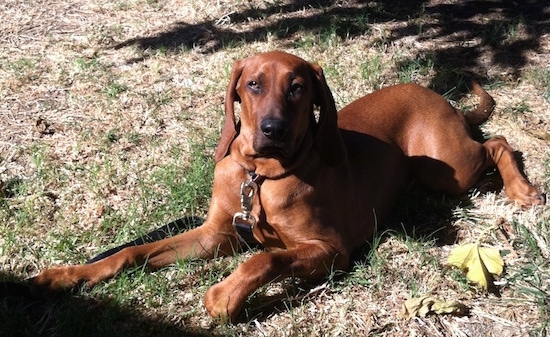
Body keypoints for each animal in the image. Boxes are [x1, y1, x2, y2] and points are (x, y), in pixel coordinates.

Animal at [32, 50, 544, 320]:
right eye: (253, 85)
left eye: (298, 88)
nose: (273, 130)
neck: (258, 177)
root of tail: (444, 100)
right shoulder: (214, 235)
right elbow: (132, 252)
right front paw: (67, 275)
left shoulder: (330, 249)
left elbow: (266, 257)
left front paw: (225, 295)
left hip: (448, 170)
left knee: (498, 143)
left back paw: (522, 190)